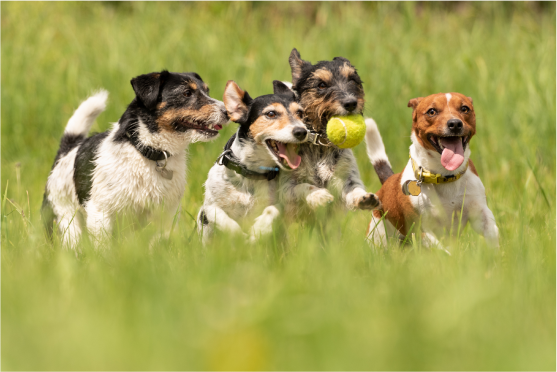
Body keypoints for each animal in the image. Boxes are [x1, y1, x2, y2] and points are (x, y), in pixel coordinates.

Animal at [40, 71, 228, 248]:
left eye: (207, 91)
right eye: (187, 93)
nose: (227, 112)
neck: (147, 153)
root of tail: (66, 152)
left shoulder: (165, 215)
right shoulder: (100, 213)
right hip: (66, 221)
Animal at [198, 80, 306, 243]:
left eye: (300, 113)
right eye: (271, 114)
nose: (302, 131)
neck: (252, 172)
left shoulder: (281, 202)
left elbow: (273, 210)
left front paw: (258, 230)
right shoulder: (209, 207)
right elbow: (221, 217)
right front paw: (239, 236)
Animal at [280, 49, 380, 218]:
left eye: (352, 80)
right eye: (321, 85)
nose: (351, 103)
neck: (321, 146)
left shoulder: (347, 177)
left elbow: (354, 188)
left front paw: (364, 197)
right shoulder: (286, 188)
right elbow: (303, 186)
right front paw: (318, 195)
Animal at [364, 92, 500, 248]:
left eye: (465, 108)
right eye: (432, 111)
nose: (455, 124)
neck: (445, 175)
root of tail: (387, 181)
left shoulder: (479, 212)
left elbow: (491, 231)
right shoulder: (421, 230)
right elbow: (441, 250)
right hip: (378, 235)